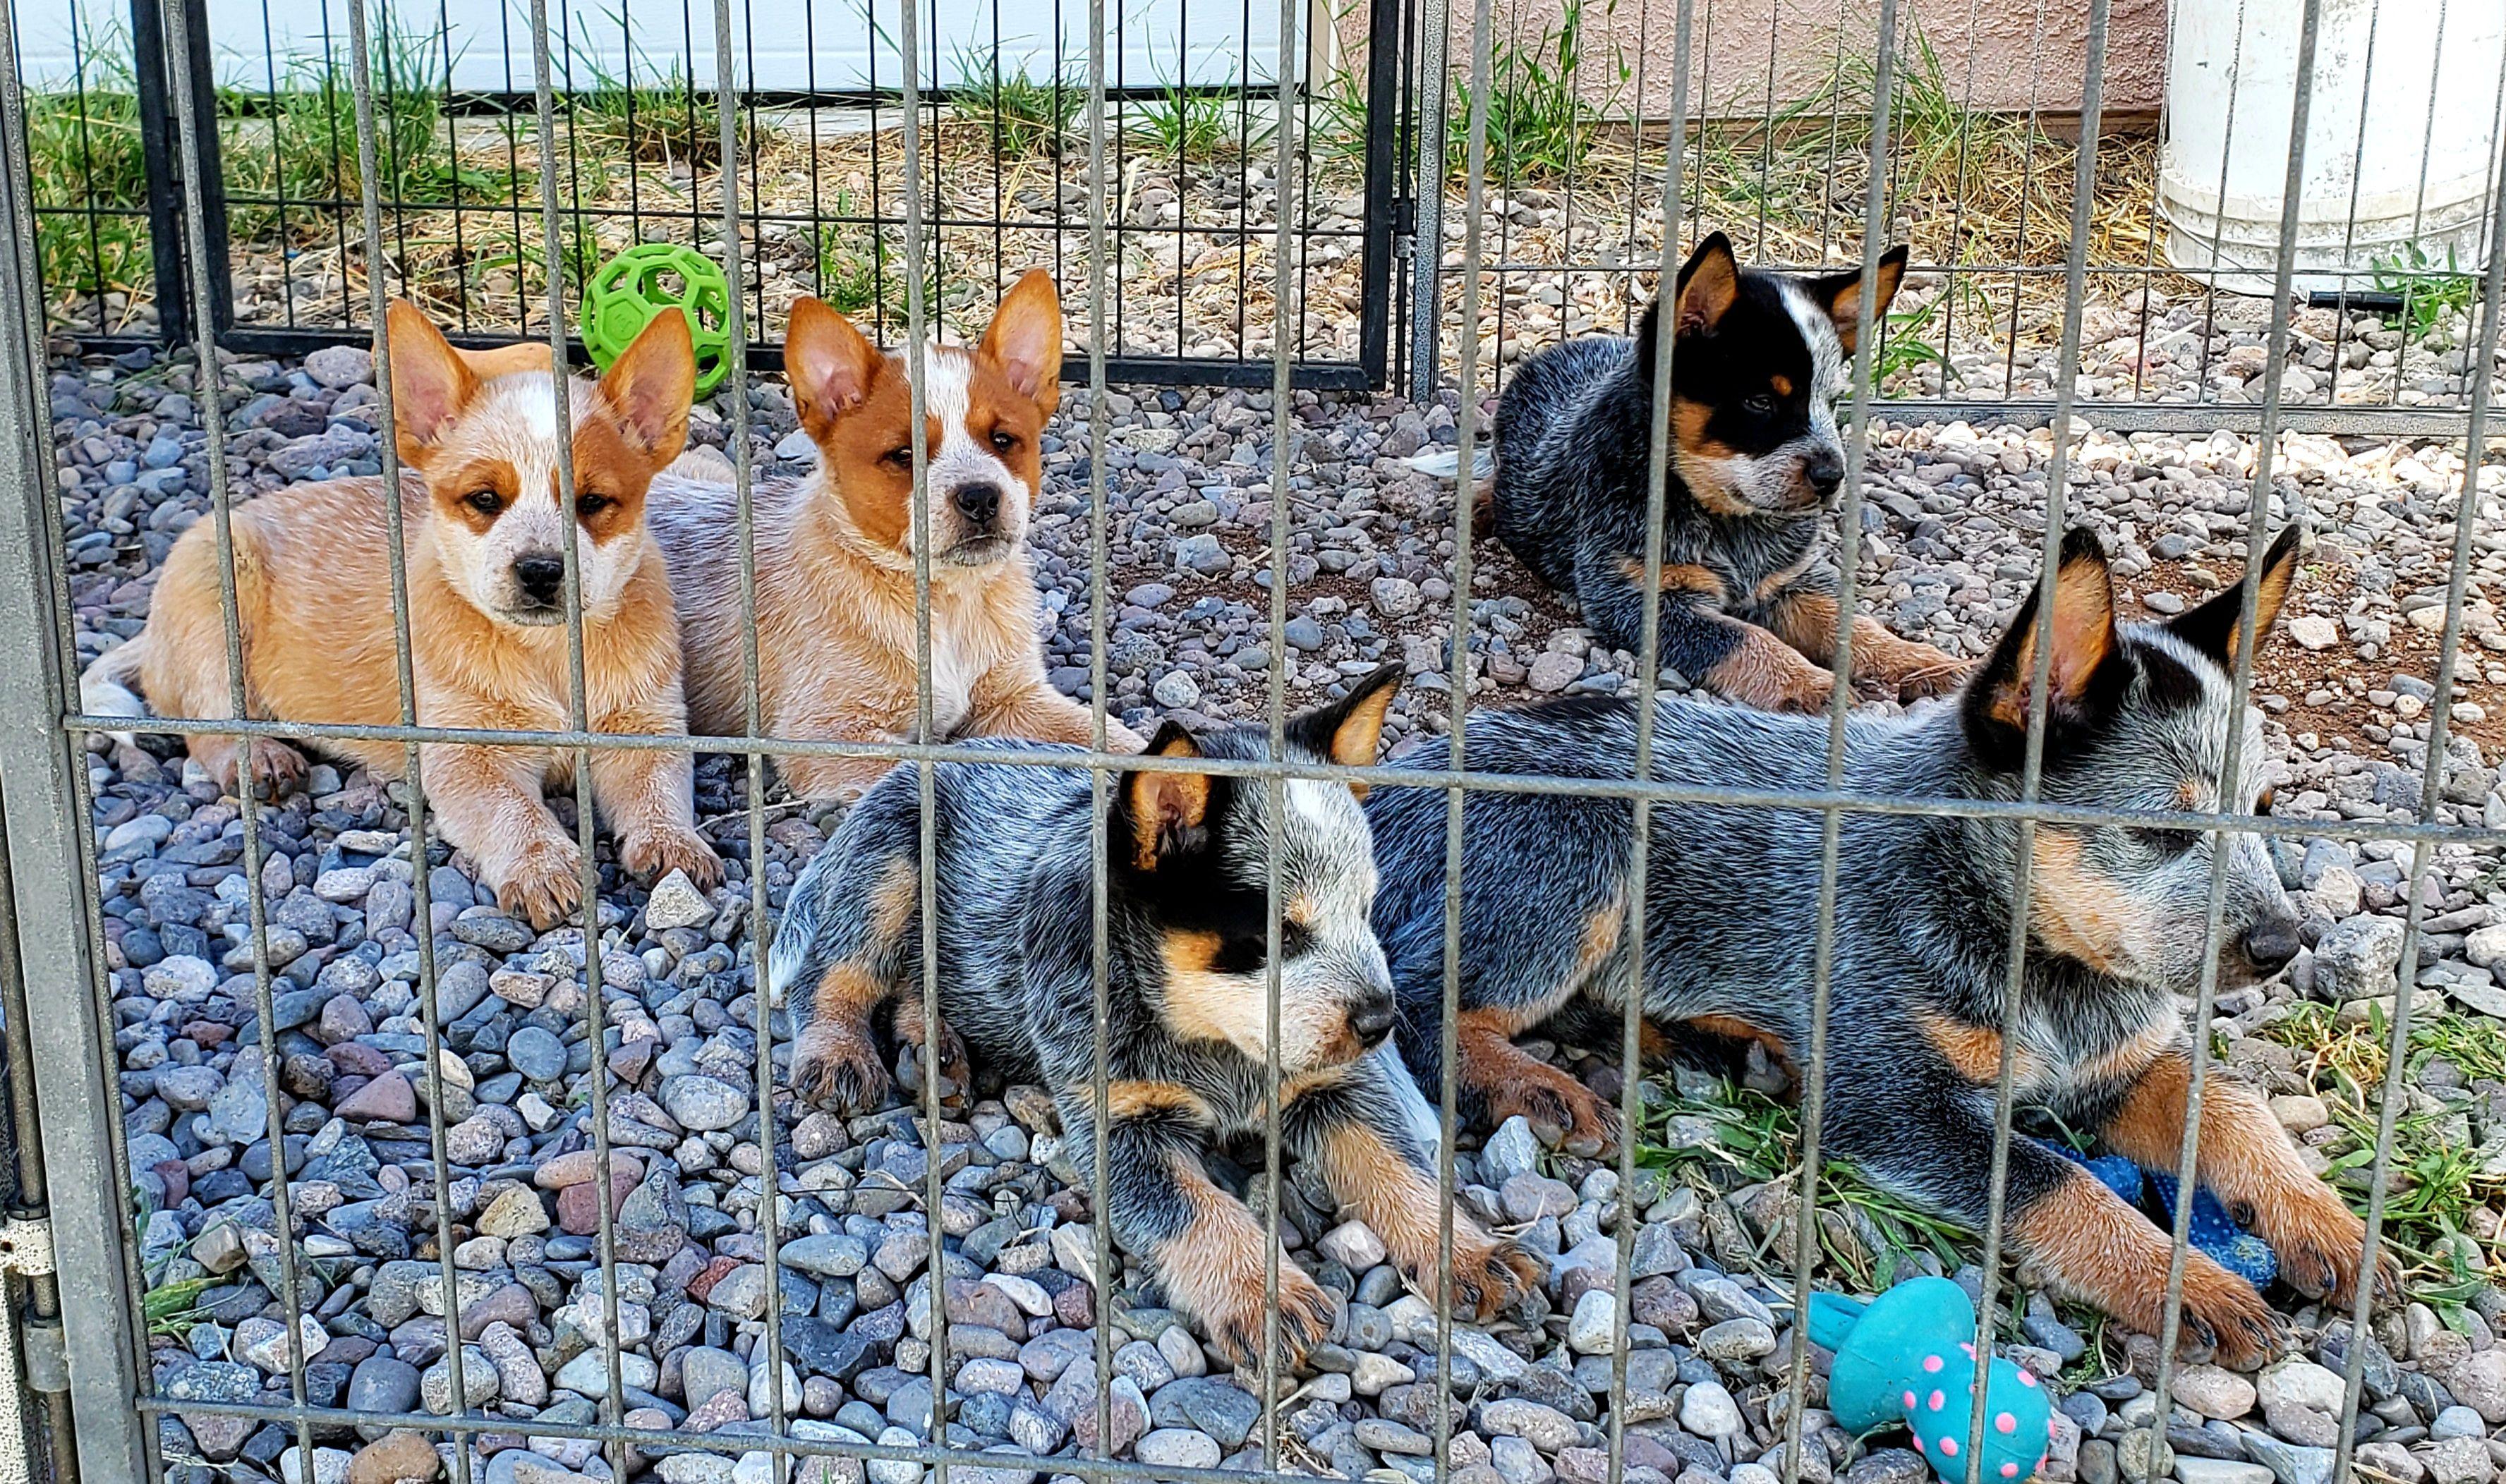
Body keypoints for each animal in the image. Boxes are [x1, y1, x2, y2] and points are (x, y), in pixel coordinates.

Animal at [81, 302, 722, 928]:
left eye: (593, 502)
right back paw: (260, 756)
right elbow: (513, 812)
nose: (540, 571)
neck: (549, 656)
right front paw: (543, 869)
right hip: (215, 591)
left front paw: (673, 844)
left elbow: (658, 788)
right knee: (204, 721)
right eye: (485, 499)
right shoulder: (467, 754)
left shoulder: (644, 724)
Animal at [650, 269, 1141, 801]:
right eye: (903, 455)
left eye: (1003, 440)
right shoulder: (828, 733)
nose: (980, 497)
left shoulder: (1013, 696)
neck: (948, 606)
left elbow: (1117, 743)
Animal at [766, 663, 1542, 1369]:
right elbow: (1203, 1212)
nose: (1383, 1022)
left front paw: (1467, 1251)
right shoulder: (1120, 1122)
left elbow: (1398, 1167)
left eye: (1365, 909)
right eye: (1278, 935)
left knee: (914, 978)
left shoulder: (1331, 1086)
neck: (1213, 1042)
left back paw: (936, 1050)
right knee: (837, 970)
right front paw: (1267, 1297)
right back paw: (840, 1051)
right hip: (889, 864)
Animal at [1363, 526, 2391, 1367]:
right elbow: (2055, 1181)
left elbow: (2233, 1105)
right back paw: (1538, 1085)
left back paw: (1726, 1040)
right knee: (1421, 1008)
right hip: (1582, 866)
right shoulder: (1892, 1104)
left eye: (2265, 809)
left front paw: (2328, 1222)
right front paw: (2190, 1286)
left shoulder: (2124, 1059)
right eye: (2165, 832)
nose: (2285, 943)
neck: (2028, 948)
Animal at [1477, 232, 1965, 712]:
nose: (1831, 476)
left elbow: (1849, 623)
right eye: (1760, 401)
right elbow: (1744, 638)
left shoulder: (1792, 580)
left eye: (1831, 402)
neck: (1729, 526)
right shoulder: (1638, 596)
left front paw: (1919, 661)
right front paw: (1812, 685)